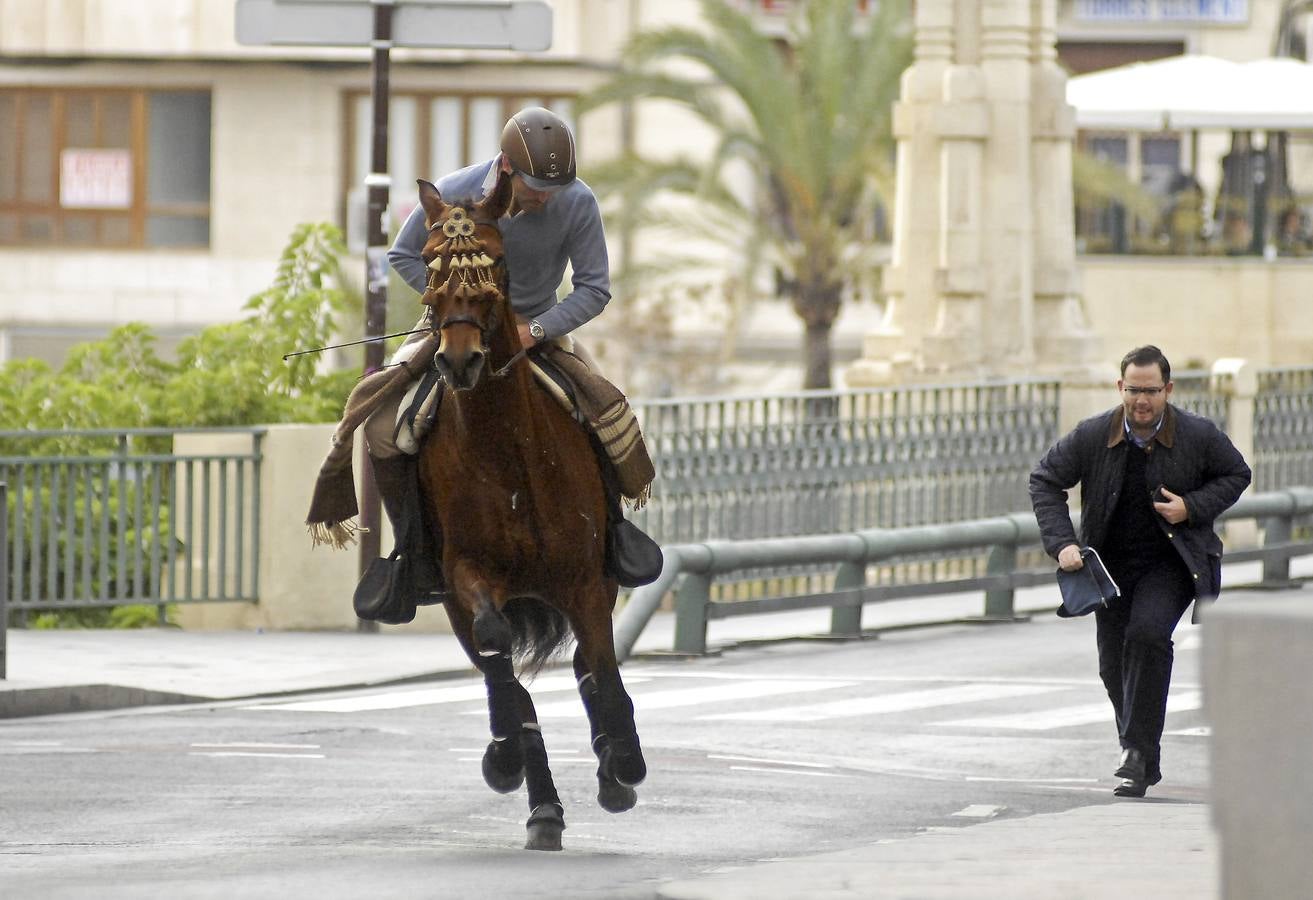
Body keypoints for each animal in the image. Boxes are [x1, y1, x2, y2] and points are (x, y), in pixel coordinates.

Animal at [414, 176, 645, 851]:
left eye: (494, 263)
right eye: (431, 263)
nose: (458, 360)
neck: (507, 452)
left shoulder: (586, 580)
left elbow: (604, 671)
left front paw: (624, 761)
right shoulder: (466, 575)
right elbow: (499, 657)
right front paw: (504, 757)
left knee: (589, 668)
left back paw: (613, 768)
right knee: (510, 679)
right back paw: (540, 801)